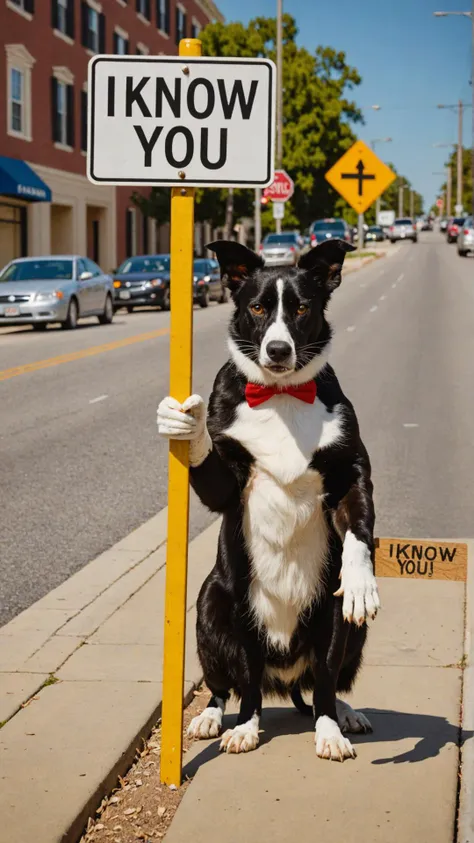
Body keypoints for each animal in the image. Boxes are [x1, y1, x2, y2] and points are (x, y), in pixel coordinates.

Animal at [159, 237, 382, 764]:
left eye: (301, 308)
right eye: (258, 307)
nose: (278, 349)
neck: (281, 396)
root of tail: (285, 674)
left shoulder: (351, 474)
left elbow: (358, 526)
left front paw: (361, 577)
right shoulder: (224, 487)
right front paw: (186, 426)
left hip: (333, 623)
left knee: (324, 683)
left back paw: (341, 717)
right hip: (214, 606)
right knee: (236, 682)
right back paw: (216, 717)